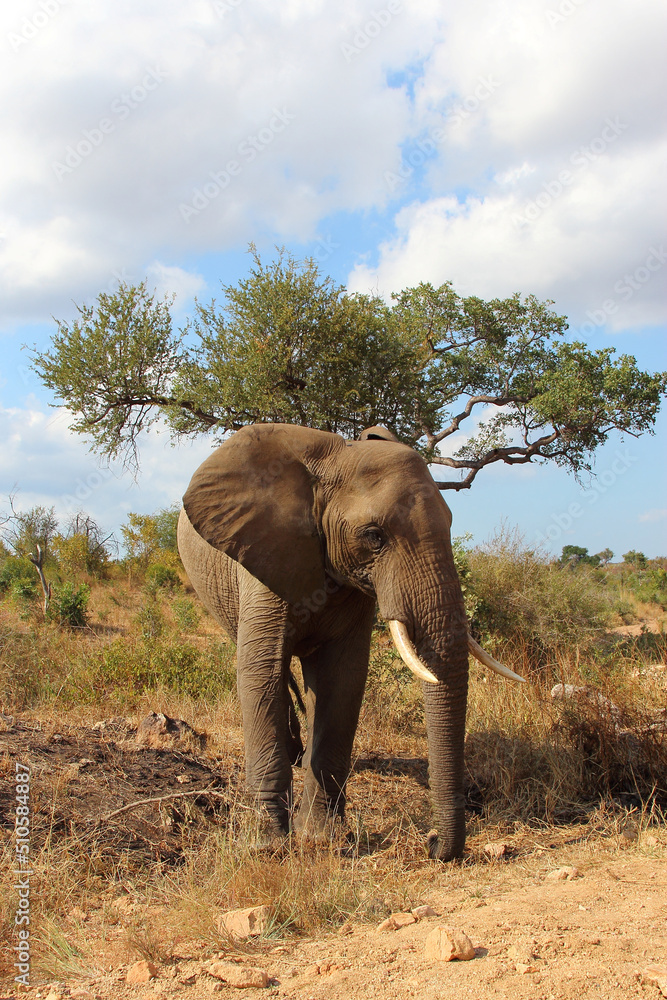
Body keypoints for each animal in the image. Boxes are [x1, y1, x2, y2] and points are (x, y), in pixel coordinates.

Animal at [177, 422, 523, 861]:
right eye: (374, 537)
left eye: (449, 524)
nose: (430, 842)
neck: (336, 457)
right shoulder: (263, 558)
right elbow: (258, 672)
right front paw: (267, 846)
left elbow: (342, 679)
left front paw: (322, 839)